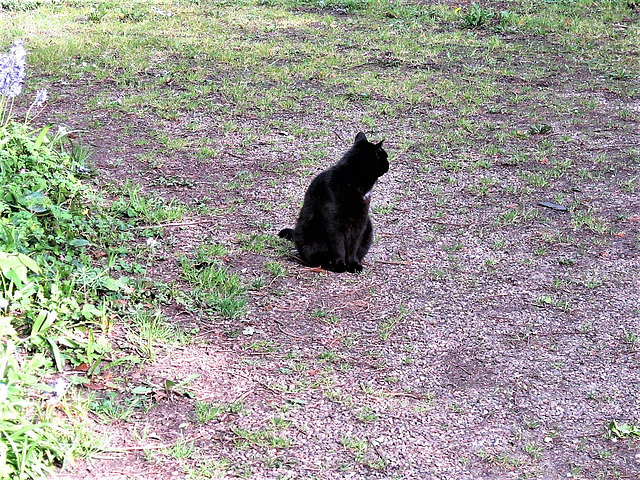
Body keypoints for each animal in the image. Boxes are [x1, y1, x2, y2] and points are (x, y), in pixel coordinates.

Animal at [278, 132, 388, 274]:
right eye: (385, 156)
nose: (388, 163)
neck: (353, 183)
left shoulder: (360, 222)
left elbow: (353, 247)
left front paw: (353, 265)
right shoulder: (333, 223)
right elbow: (338, 247)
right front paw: (340, 265)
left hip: (368, 227)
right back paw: (327, 264)